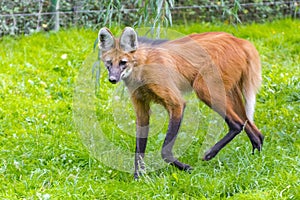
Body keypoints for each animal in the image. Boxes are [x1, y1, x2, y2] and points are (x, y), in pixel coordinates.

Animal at [98, 26, 262, 178]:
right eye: (109, 63)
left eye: (123, 63)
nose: (112, 79)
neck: (141, 68)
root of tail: (240, 41)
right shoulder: (141, 109)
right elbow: (139, 148)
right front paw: (139, 177)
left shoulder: (176, 103)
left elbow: (165, 151)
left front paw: (186, 168)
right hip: (229, 94)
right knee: (255, 130)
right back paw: (256, 160)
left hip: (204, 89)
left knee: (238, 125)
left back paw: (210, 154)